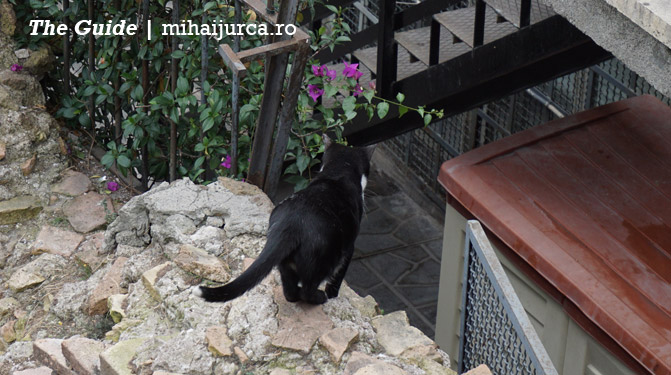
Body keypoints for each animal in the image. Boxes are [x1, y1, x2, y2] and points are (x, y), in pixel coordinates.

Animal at [194, 136, 376, 306]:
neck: (337, 173)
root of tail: (289, 225)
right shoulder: (349, 247)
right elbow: (337, 279)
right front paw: (332, 295)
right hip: (323, 261)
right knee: (308, 289)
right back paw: (320, 298)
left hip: (285, 263)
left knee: (290, 290)